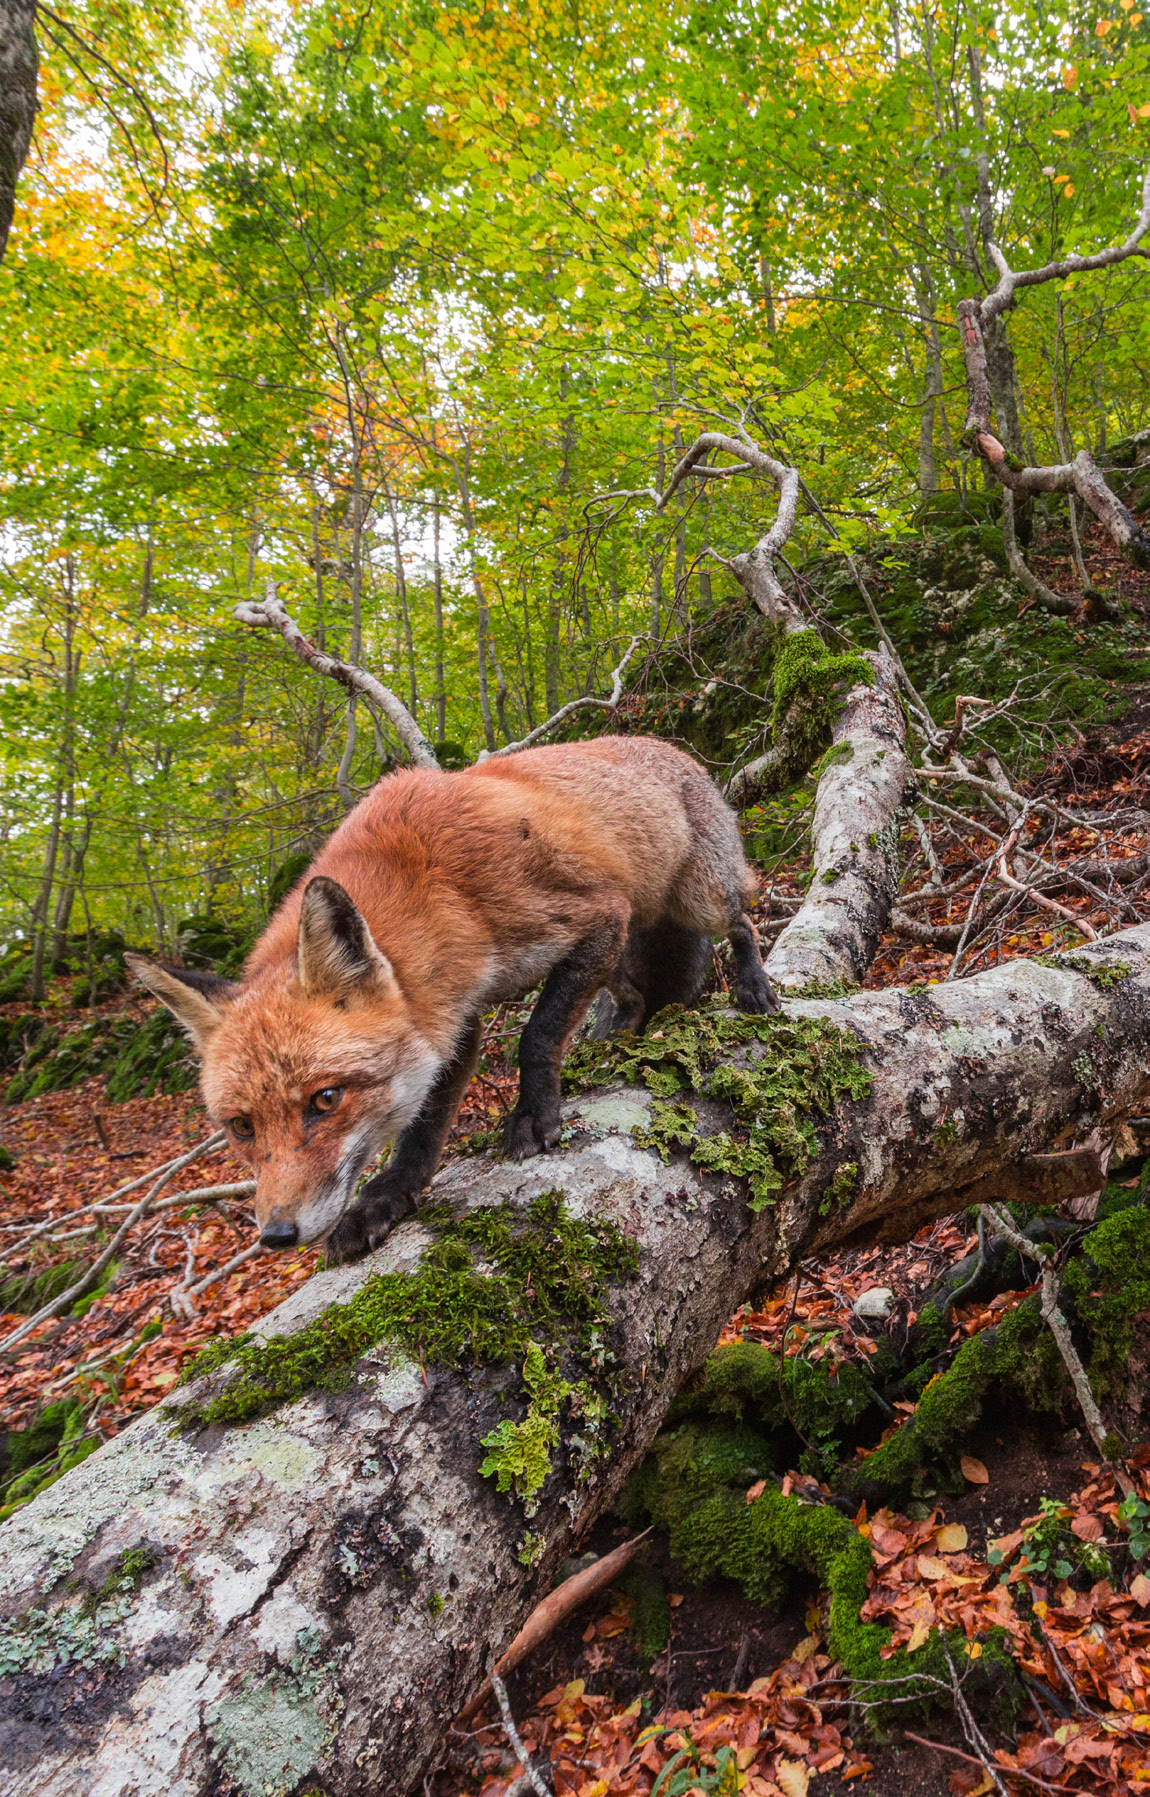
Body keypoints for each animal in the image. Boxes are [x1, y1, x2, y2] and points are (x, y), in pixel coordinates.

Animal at [127, 735, 776, 1263]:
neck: (440, 891)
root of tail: (669, 746)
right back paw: (616, 1039)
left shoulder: (593, 913)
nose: (276, 1235)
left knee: (744, 918)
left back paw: (754, 985)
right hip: (620, 951)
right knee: (637, 998)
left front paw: (533, 1114)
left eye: (325, 1099)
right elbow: (423, 1126)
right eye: (241, 1127)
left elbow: (537, 1033)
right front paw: (388, 1198)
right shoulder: (452, 1015)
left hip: (693, 900)